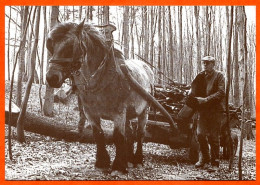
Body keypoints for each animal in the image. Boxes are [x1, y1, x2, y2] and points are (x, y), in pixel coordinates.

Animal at [46, 20, 175, 175]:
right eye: (51, 45)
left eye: (71, 46)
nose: (51, 78)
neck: (101, 80)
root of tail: (146, 67)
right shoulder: (90, 113)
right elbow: (99, 135)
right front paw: (102, 162)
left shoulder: (118, 113)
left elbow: (118, 137)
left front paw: (118, 166)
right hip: (128, 113)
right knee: (130, 134)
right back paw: (128, 158)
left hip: (144, 110)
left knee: (140, 134)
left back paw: (137, 159)